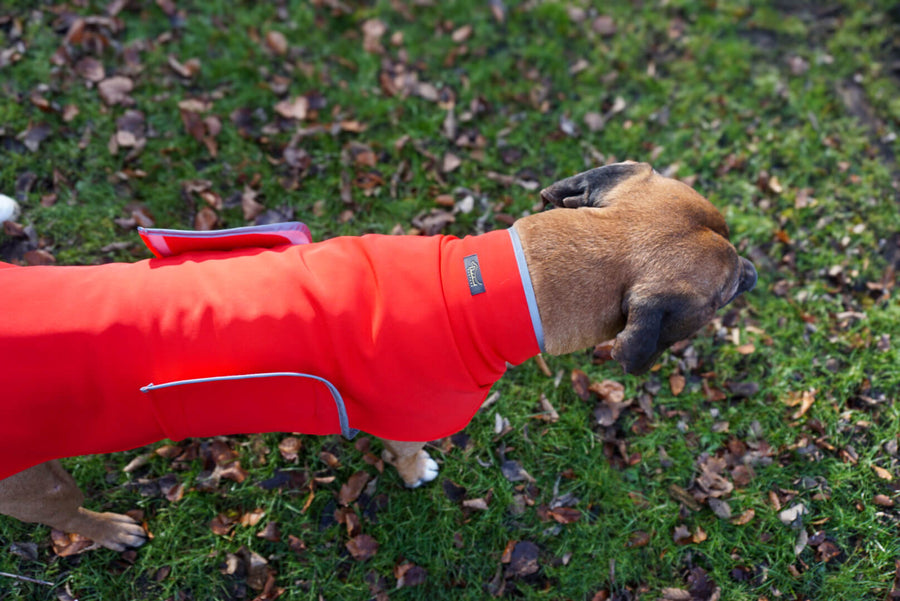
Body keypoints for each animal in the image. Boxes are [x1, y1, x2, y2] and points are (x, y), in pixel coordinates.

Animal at [0, 162, 760, 552]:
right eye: (724, 291)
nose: (756, 272)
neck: (499, 284)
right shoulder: (405, 418)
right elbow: (405, 452)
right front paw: (418, 471)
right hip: (34, 481)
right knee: (67, 514)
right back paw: (110, 530)